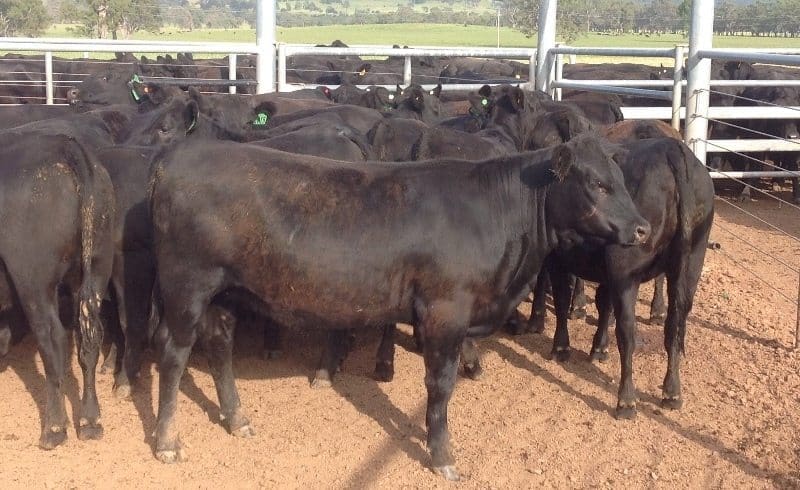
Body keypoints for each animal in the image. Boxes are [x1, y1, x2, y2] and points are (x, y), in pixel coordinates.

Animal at [148, 134, 648, 478]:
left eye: (623, 181)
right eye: (598, 184)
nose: (642, 228)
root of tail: (179, 154)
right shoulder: (446, 312)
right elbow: (440, 387)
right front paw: (442, 454)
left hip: (225, 293)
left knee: (220, 346)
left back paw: (237, 418)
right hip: (186, 288)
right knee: (173, 358)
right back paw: (167, 440)